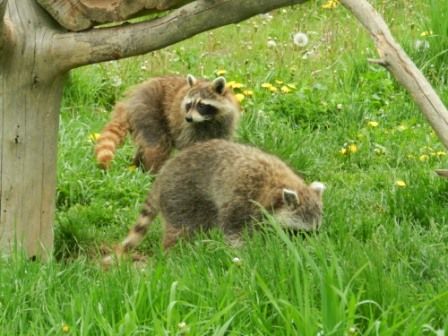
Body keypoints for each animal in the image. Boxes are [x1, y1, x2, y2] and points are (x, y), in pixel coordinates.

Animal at [95, 74, 242, 173]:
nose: (188, 118)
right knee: (158, 145)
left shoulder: (225, 124)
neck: (208, 120)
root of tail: (130, 101)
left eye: (201, 105)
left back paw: (137, 166)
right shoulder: (187, 128)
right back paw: (154, 172)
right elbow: (190, 148)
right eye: (189, 104)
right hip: (148, 111)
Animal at [103, 140, 324, 266]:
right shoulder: (241, 196)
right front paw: (244, 251)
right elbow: (233, 228)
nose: (313, 251)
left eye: (315, 232)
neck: (277, 184)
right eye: (302, 233)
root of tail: (163, 175)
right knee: (180, 230)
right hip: (181, 197)